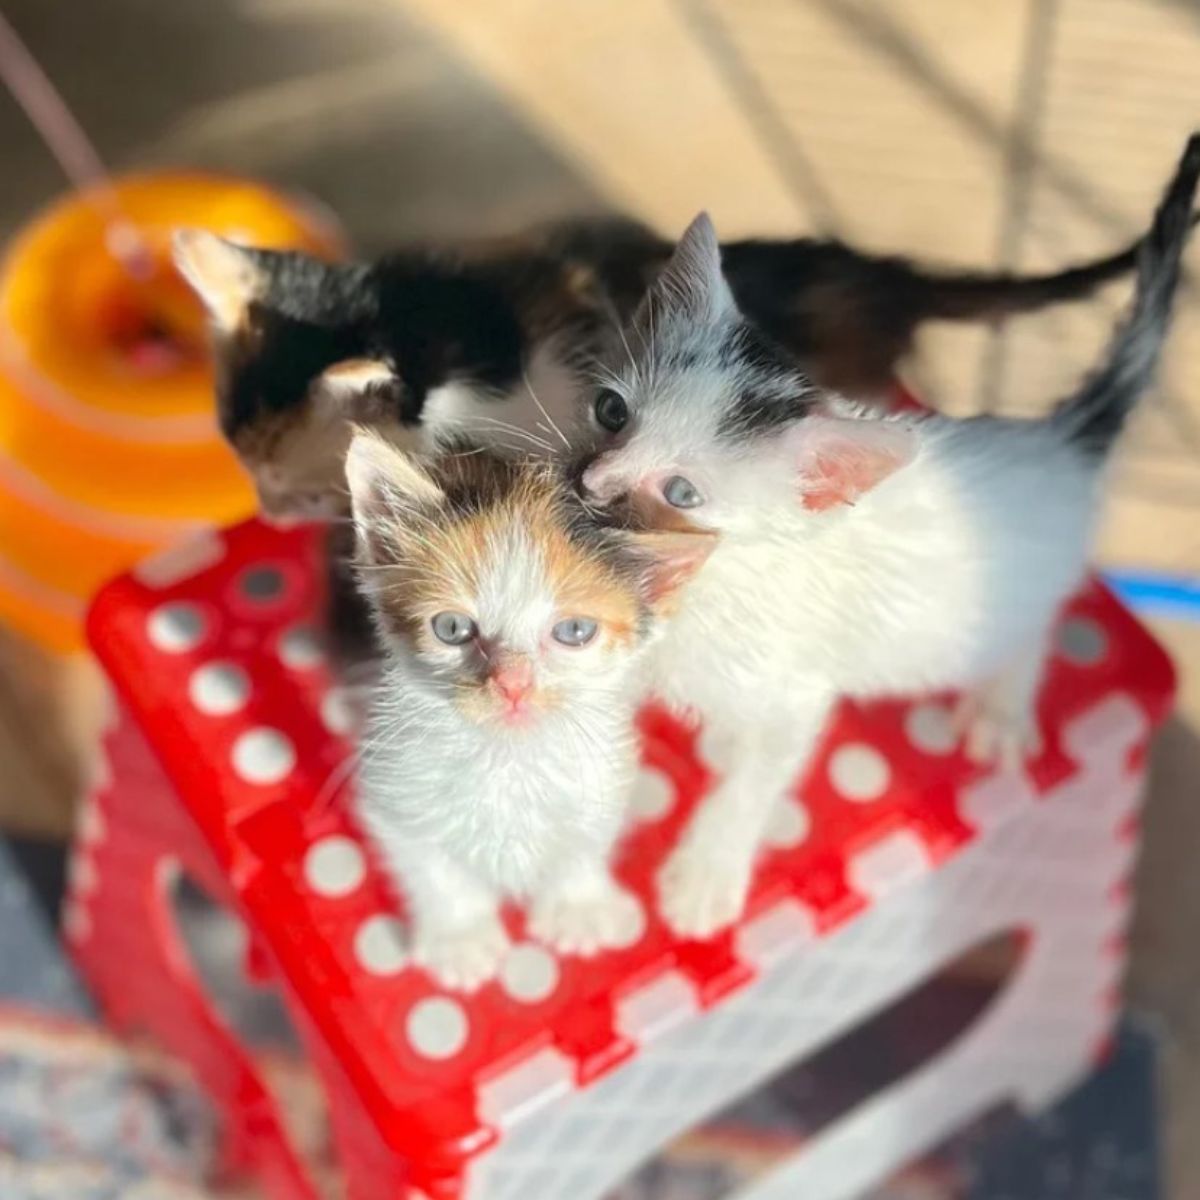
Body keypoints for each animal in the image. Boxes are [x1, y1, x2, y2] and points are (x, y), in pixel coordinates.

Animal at [343, 427, 710, 988]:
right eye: (452, 628)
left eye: (574, 631)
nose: (512, 685)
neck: (507, 757)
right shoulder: (390, 790)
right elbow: (429, 865)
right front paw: (461, 938)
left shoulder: (603, 777)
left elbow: (587, 837)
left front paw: (577, 908)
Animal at [580, 138, 1200, 936]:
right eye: (610, 411)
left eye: (683, 493)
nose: (591, 485)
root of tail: (1056, 441)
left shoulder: (794, 692)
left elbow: (756, 780)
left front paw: (704, 878)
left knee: (1030, 633)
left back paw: (1002, 708)